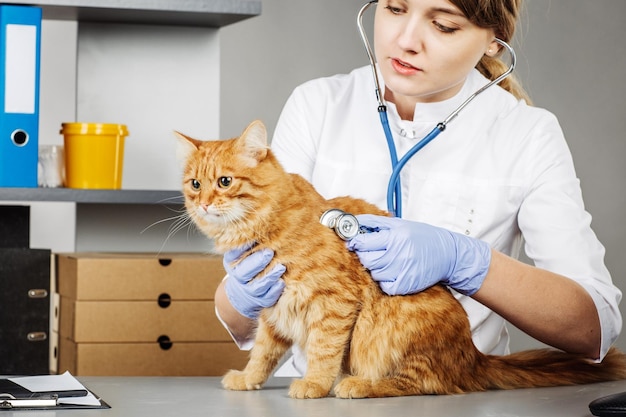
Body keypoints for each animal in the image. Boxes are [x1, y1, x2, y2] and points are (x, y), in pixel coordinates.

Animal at [174, 119, 624, 396]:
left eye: (224, 182)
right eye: (194, 184)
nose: (204, 203)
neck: (265, 227)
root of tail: (473, 356)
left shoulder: (333, 304)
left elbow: (321, 352)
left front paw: (314, 386)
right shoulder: (272, 308)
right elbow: (262, 353)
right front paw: (247, 378)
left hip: (394, 327)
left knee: (424, 383)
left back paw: (357, 385)